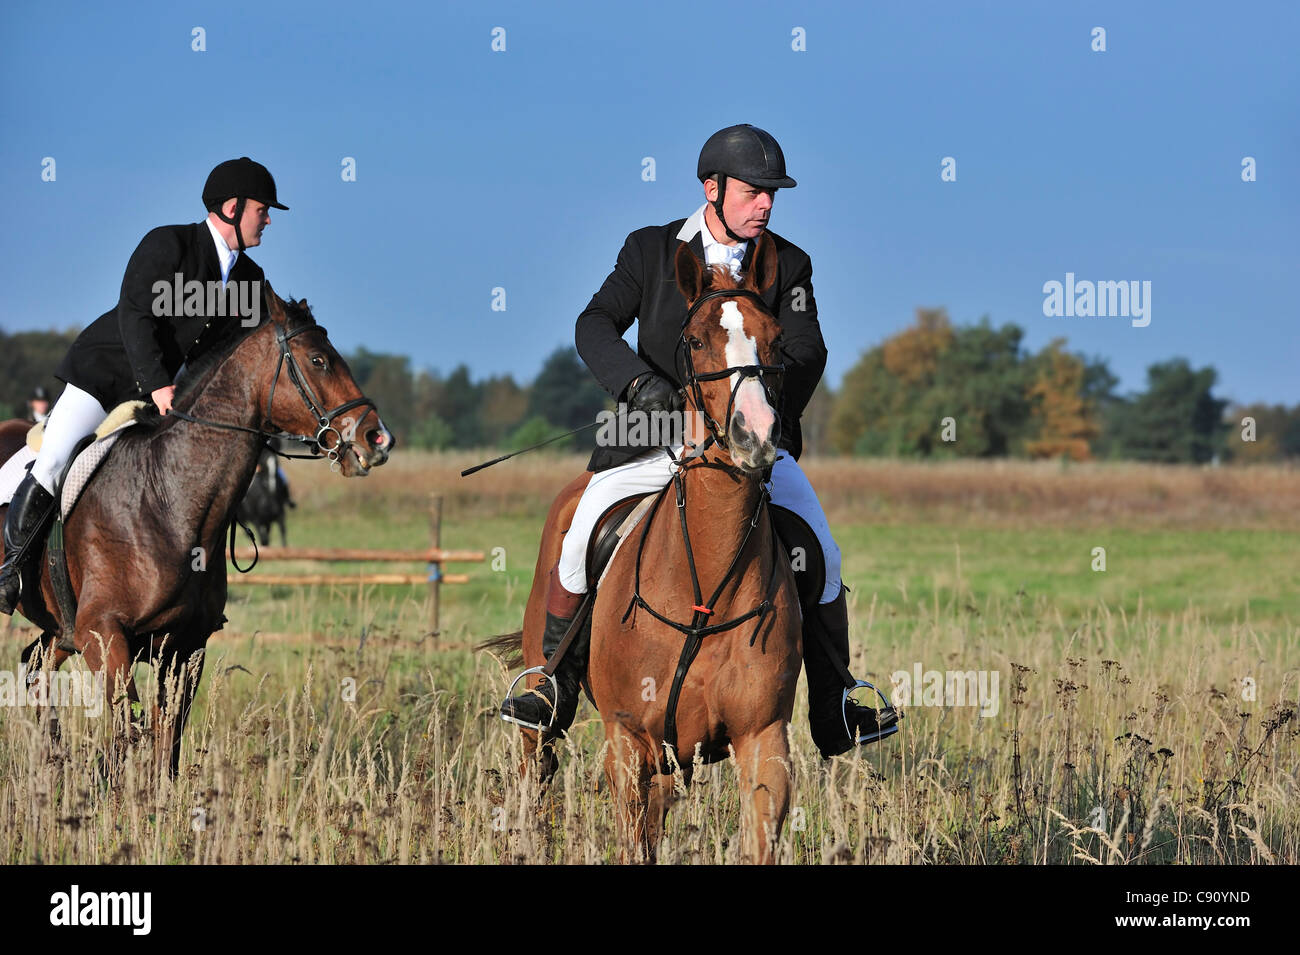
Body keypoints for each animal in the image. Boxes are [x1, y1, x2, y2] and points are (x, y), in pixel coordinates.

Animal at [1, 285, 395, 779]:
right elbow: (127, 730)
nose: (377, 439)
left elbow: (165, 743)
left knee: (35, 668)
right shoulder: (102, 635)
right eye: (319, 360)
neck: (167, 499)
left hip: (61, 629)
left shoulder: (185, 647)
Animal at [491, 235, 795, 862]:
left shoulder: (763, 739)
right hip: (549, 709)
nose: (755, 434)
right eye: (697, 340)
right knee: (536, 768)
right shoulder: (628, 741)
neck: (704, 588)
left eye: (777, 339)